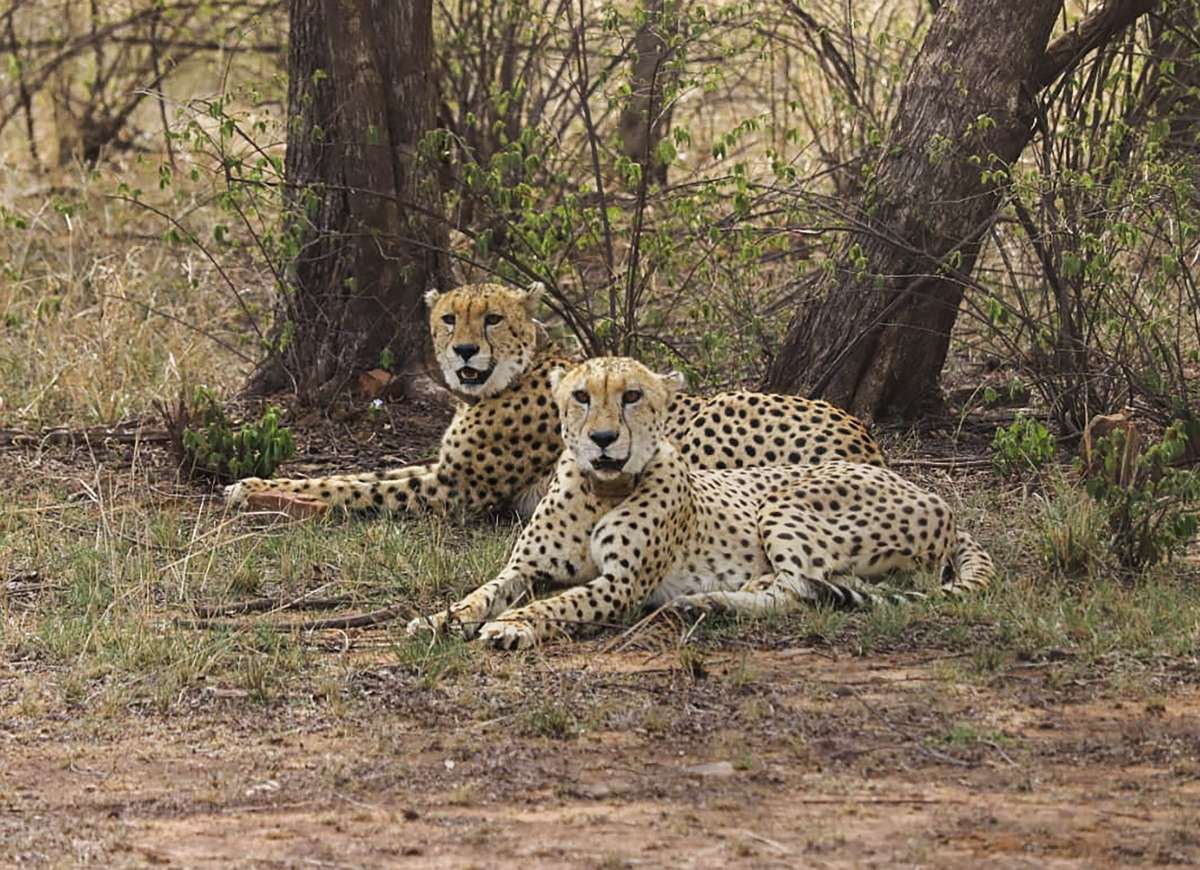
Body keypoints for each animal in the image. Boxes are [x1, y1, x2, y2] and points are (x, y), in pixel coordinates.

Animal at [225, 283, 888, 516]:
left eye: (492, 318)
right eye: (449, 318)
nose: (463, 352)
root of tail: (865, 438)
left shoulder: (456, 489)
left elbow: (353, 487)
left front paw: (259, 493)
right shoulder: (444, 470)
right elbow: (359, 473)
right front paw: (256, 484)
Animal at [405, 352, 993, 643]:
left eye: (632, 396)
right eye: (581, 396)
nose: (603, 439)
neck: (601, 489)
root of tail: (939, 501)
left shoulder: (621, 585)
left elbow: (560, 602)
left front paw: (513, 626)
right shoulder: (525, 568)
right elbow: (481, 593)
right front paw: (440, 621)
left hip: (785, 502)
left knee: (799, 588)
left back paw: (709, 600)